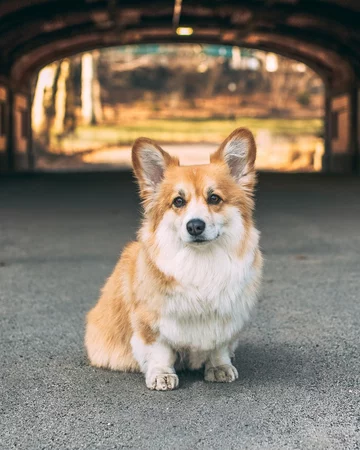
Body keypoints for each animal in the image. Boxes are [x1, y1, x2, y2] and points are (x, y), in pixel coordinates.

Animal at [86, 127, 262, 390]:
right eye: (178, 201)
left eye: (214, 198)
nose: (195, 226)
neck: (200, 262)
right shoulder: (150, 324)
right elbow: (159, 351)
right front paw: (161, 374)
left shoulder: (226, 316)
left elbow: (218, 346)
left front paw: (219, 367)